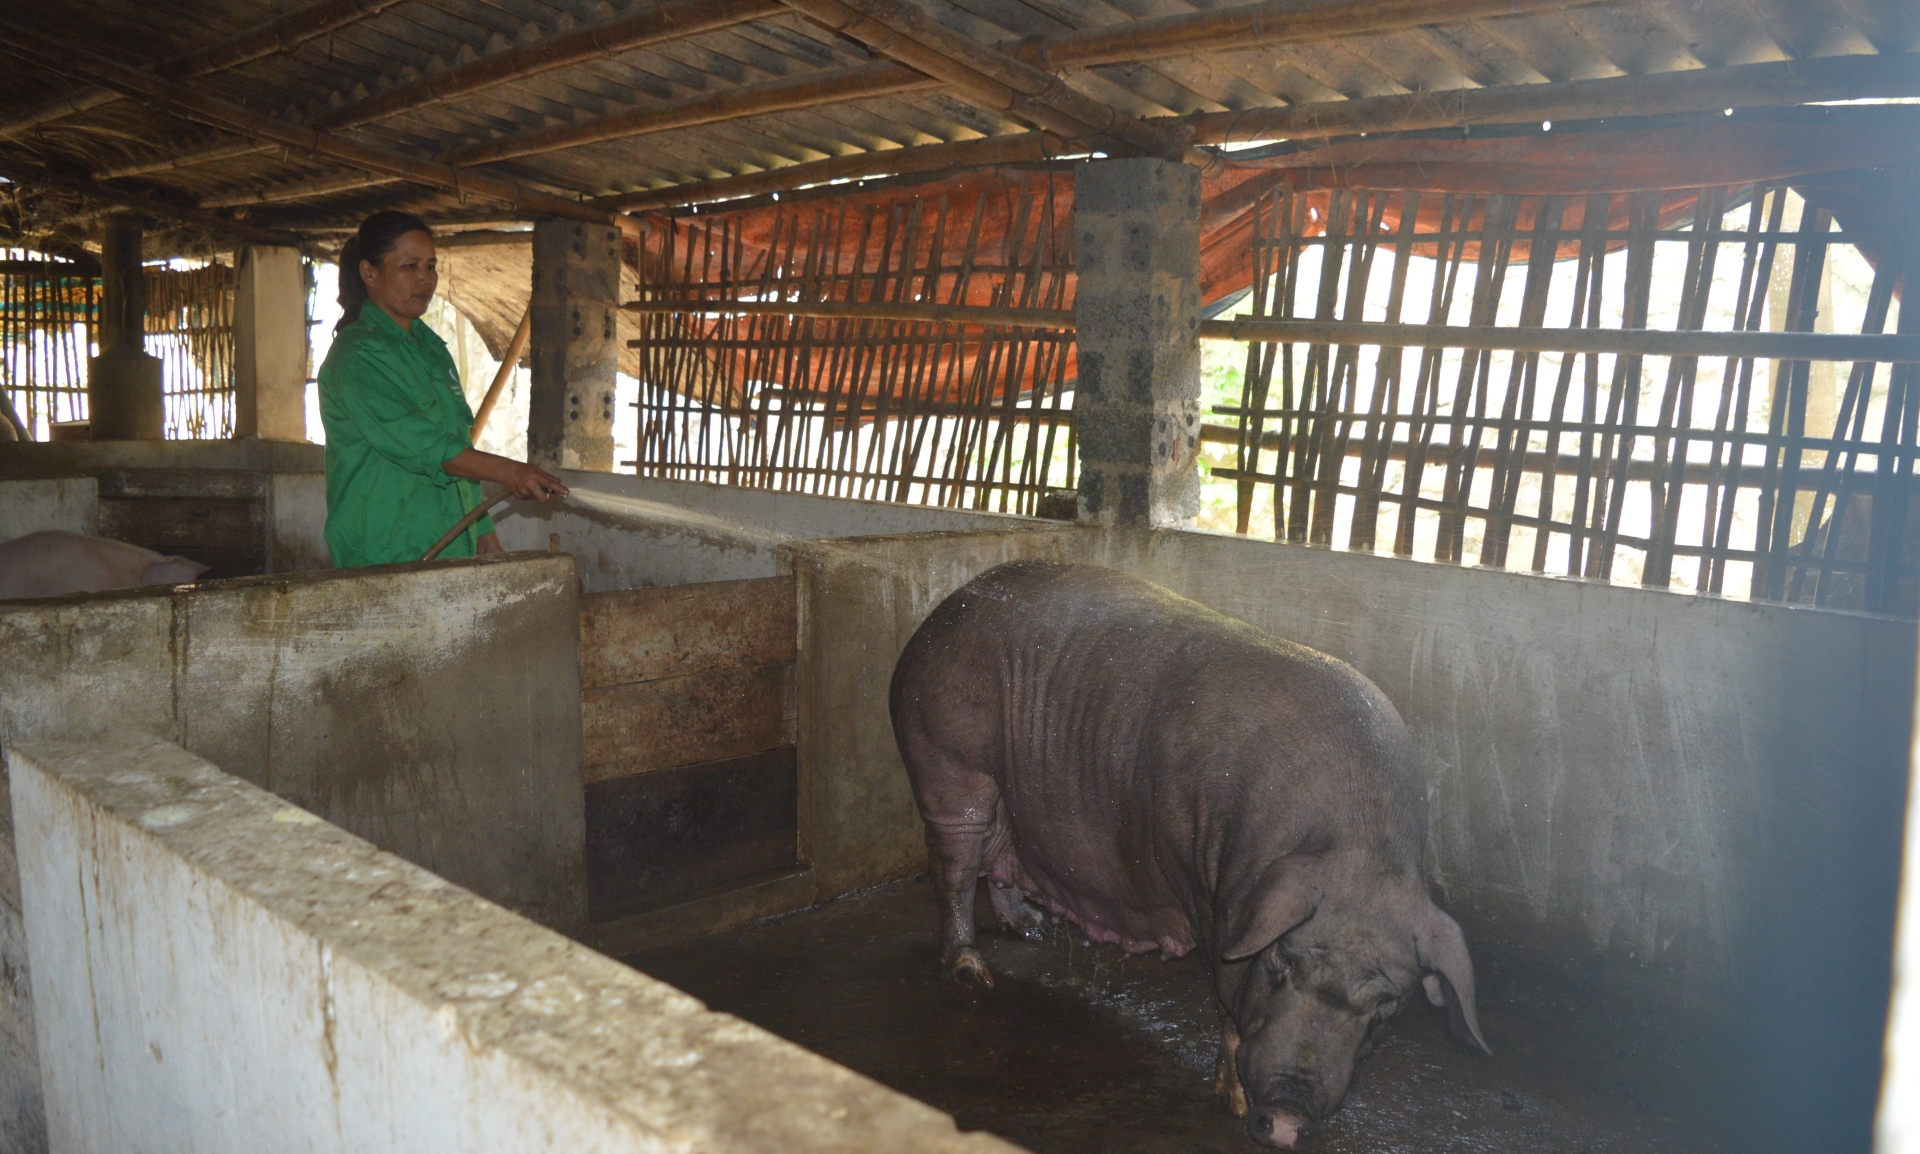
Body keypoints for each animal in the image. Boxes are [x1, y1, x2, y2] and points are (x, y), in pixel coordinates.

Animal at [890, 556, 1489, 1144]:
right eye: (1280, 964)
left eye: (1387, 1010)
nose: (1287, 1119)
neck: (1357, 845)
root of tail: (942, 613)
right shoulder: (1209, 890)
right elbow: (1227, 999)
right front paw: (1233, 1105)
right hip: (948, 755)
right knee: (957, 862)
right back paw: (972, 973)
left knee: (1000, 859)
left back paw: (1037, 930)